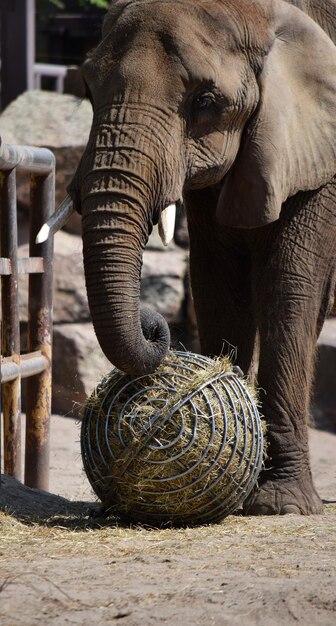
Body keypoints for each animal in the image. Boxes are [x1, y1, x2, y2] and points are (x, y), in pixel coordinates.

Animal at [44, 0, 336, 512]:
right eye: (88, 88)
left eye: (206, 102)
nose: (153, 324)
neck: (268, 15)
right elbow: (218, 280)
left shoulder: (316, 146)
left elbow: (290, 284)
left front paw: (279, 505)